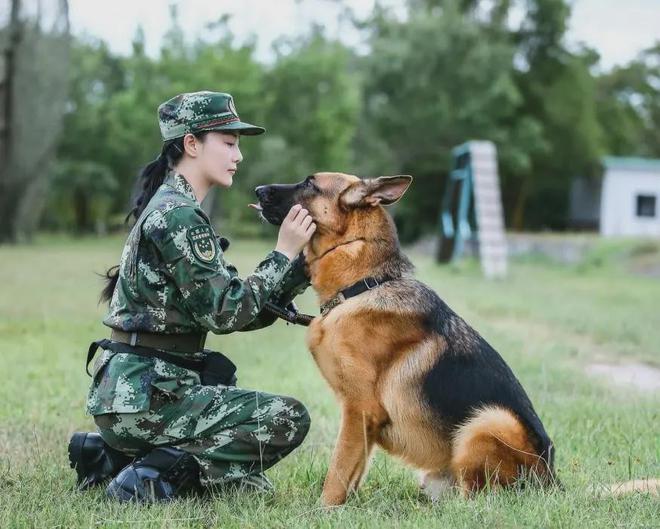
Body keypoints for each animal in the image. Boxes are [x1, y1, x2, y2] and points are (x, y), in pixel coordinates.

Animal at [255, 172, 556, 504]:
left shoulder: (359, 410)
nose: (257, 189)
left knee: (474, 500)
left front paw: (324, 509)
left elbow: (337, 470)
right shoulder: (365, 423)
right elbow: (353, 472)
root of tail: (551, 480)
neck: (363, 286)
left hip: (489, 421)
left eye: (310, 184)